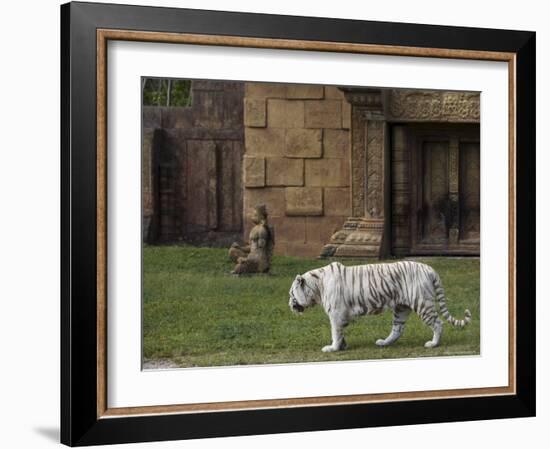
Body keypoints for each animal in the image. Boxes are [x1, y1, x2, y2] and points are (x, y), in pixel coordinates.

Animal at [288, 260, 474, 352]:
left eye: (291, 294)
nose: (289, 304)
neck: (317, 287)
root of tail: (429, 268)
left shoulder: (335, 313)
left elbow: (335, 332)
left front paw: (332, 348)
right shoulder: (340, 316)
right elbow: (340, 332)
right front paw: (342, 346)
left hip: (422, 303)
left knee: (438, 323)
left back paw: (433, 344)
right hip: (401, 308)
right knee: (398, 329)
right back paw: (384, 343)